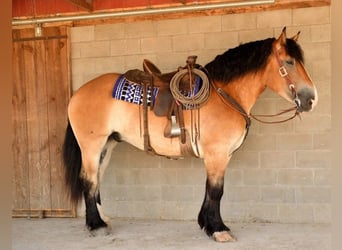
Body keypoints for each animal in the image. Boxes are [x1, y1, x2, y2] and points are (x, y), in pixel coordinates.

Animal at [62, 27, 318, 242]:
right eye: (290, 62)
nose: (311, 99)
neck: (225, 94)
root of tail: (78, 93)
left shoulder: (220, 156)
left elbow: (209, 189)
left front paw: (205, 224)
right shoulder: (217, 154)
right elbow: (216, 190)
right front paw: (218, 230)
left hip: (108, 145)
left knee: (97, 180)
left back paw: (103, 220)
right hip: (92, 145)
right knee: (88, 180)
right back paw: (96, 226)